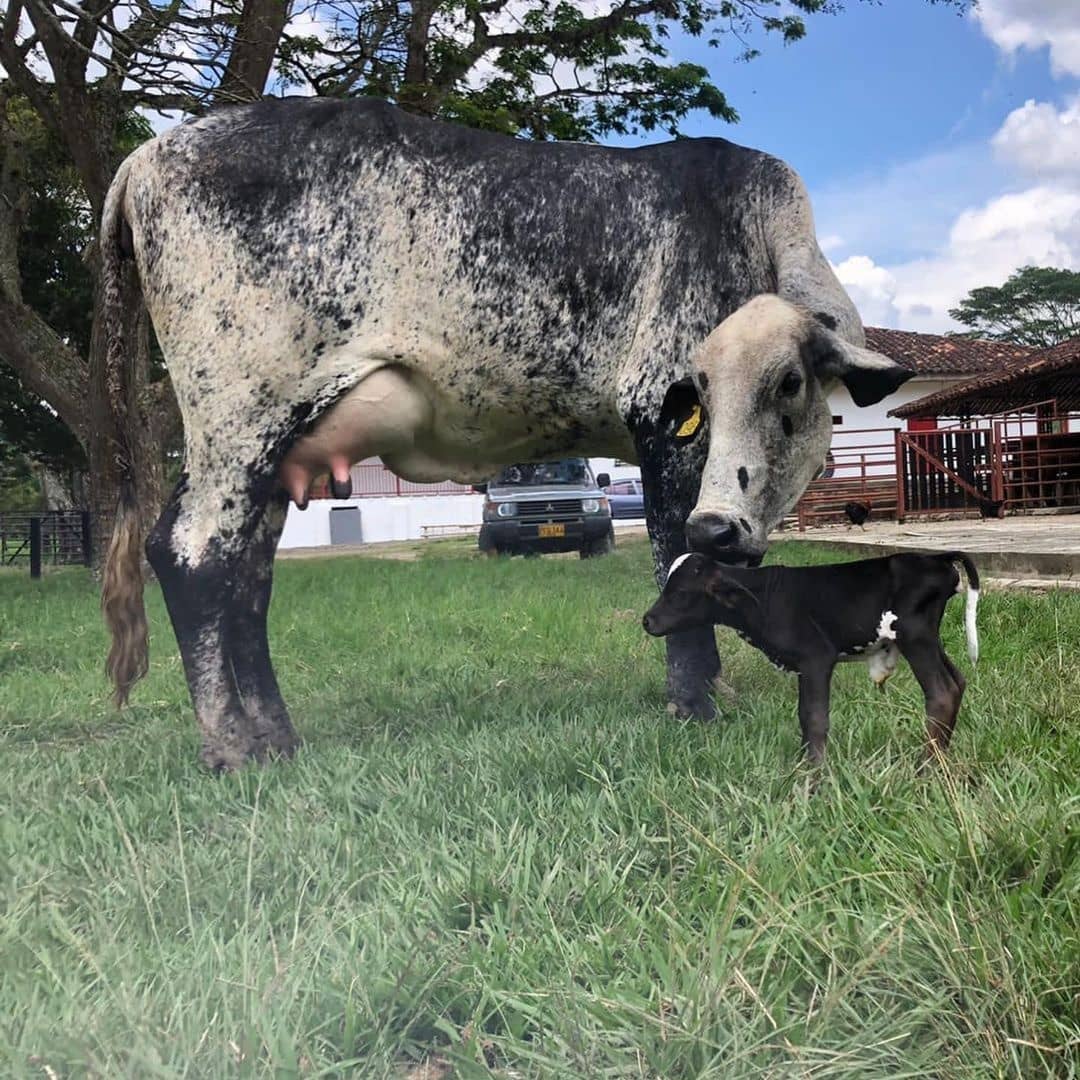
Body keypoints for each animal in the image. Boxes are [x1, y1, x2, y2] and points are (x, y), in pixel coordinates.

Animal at [99, 95, 911, 768]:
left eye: (789, 383)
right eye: (701, 390)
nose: (724, 527)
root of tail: (144, 158)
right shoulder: (658, 423)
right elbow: (675, 558)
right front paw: (693, 701)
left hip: (273, 452)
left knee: (249, 578)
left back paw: (278, 736)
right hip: (239, 416)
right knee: (193, 556)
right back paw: (232, 746)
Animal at [643, 552, 984, 764]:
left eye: (681, 594)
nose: (647, 621)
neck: (764, 597)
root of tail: (934, 557)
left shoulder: (816, 659)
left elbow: (813, 718)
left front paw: (811, 775)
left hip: (916, 638)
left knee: (941, 693)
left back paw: (926, 767)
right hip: (929, 640)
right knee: (958, 682)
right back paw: (941, 756)